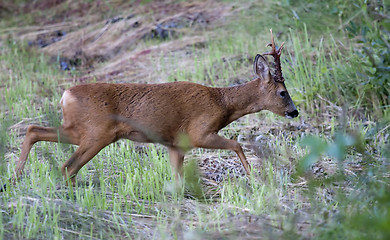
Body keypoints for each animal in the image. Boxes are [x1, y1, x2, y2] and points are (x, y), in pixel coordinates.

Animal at [0, 29, 298, 191]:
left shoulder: (176, 145)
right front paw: (254, 178)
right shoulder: (199, 131)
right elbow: (237, 144)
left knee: (34, 130)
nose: (294, 112)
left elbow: (177, 179)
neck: (222, 103)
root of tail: (65, 95)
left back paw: (14, 178)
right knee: (67, 166)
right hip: (97, 133)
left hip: (79, 130)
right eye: (283, 93)